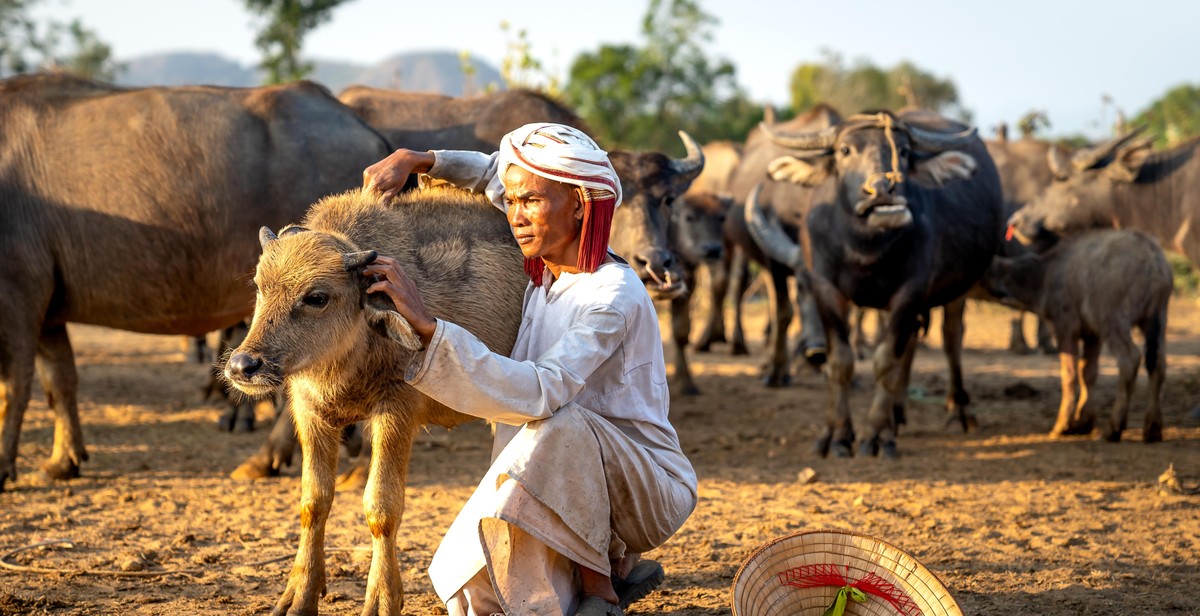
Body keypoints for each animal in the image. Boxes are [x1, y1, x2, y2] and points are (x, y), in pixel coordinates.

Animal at [0, 73, 391, 489]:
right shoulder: (47, 312)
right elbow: (59, 382)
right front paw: (63, 460)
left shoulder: (17, 297)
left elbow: (14, 385)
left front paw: (4, 465)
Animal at [748, 109, 1003, 456]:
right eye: (844, 150)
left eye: (904, 152)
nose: (883, 189)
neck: (864, 248)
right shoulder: (827, 287)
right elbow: (841, 361)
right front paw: (836, 435)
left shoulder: (909, 292)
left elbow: (885, 362)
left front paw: (877, 436)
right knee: (911, 344)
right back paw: (898, 410)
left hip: (957, 290)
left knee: (951, 338)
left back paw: (958, 410)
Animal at [984, 228, 1171, 439]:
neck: (1045, 274)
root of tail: (1153, 261)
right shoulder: (1093, 335)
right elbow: (1088, 372)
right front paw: (1085, 422)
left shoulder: (1065, 329)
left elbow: (1069, 374)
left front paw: (1063, 425)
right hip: (1156, 320)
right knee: (1158, 363)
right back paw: (1152, 428)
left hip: (1113, 322)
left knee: (1129, 359)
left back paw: (1114, 427)